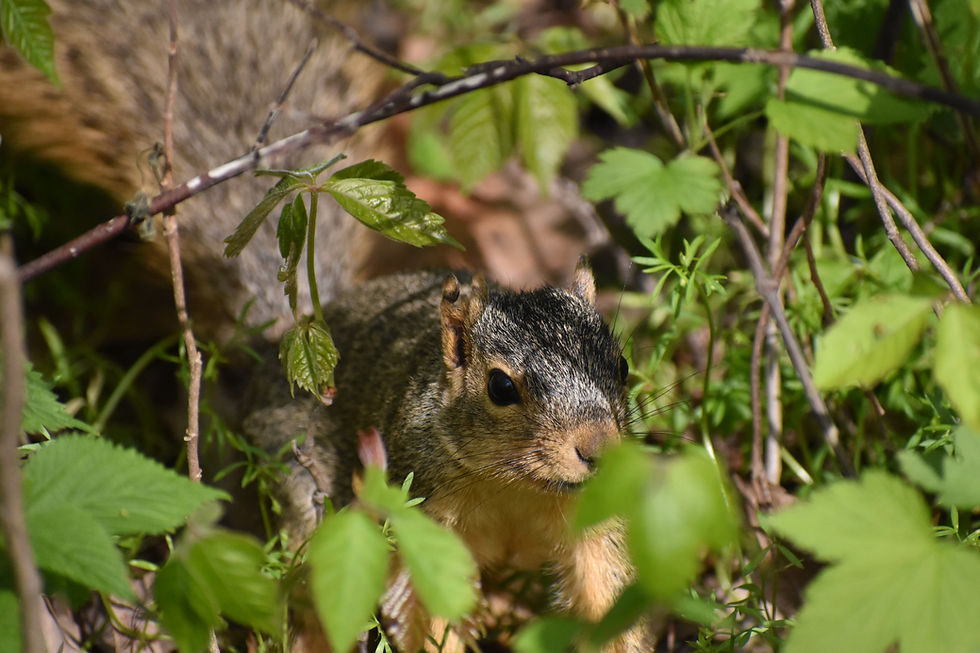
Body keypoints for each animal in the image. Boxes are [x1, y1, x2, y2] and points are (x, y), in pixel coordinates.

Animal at [242, 264, 646, 651]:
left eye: (623, 365)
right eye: (501, 387)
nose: (601, 448)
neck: (517, 487)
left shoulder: (597, 527)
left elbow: (608, 601)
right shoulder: (430, 522)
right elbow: (439, 616)